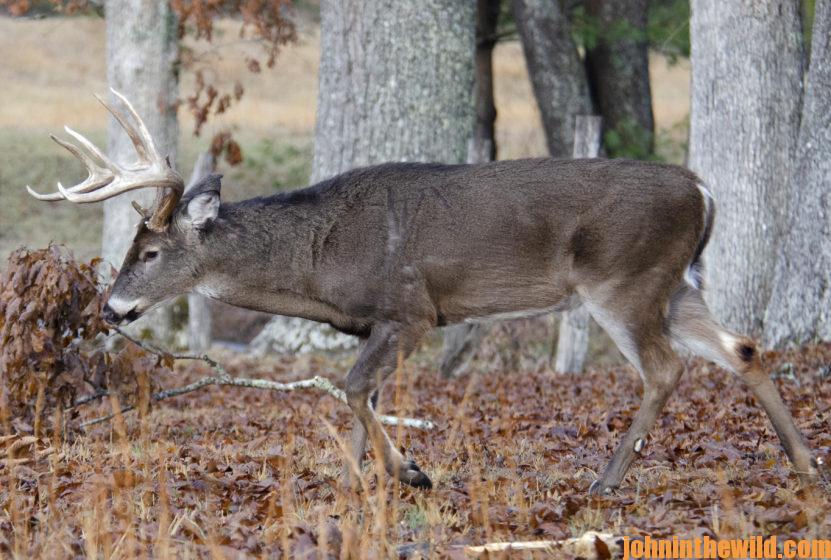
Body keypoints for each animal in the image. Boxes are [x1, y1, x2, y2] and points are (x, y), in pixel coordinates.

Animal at [27, 91, 824, 494]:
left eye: (150, 251)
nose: (110, 308)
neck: (320, 265)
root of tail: (702, 189)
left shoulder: (410, 311)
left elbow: (353, 387)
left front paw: (410, 472)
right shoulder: (374, 324)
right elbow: (359, 396)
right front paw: (359, 482)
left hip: (623, 280)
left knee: (667, 367)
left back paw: (605, 479)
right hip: (675, 283)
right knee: (744, 348)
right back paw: (804, 465)